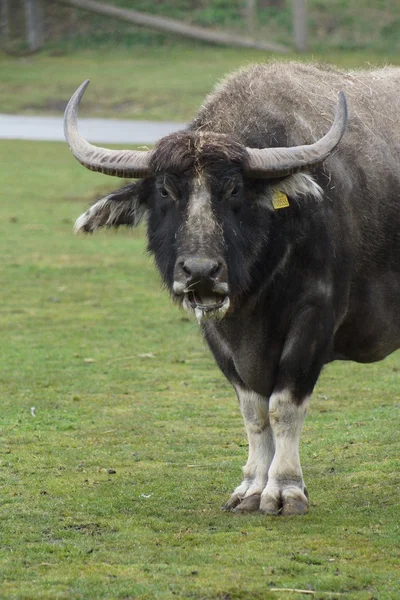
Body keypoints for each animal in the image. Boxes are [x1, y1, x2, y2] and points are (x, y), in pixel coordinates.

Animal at [64, 62, 400, 516]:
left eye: (234, 189)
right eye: (165, 190)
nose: (201, 271)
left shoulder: (314, 319)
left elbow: (283, 408)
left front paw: (285, 490)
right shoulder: (218, 334)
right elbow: (253, 411)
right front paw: (251, 488)